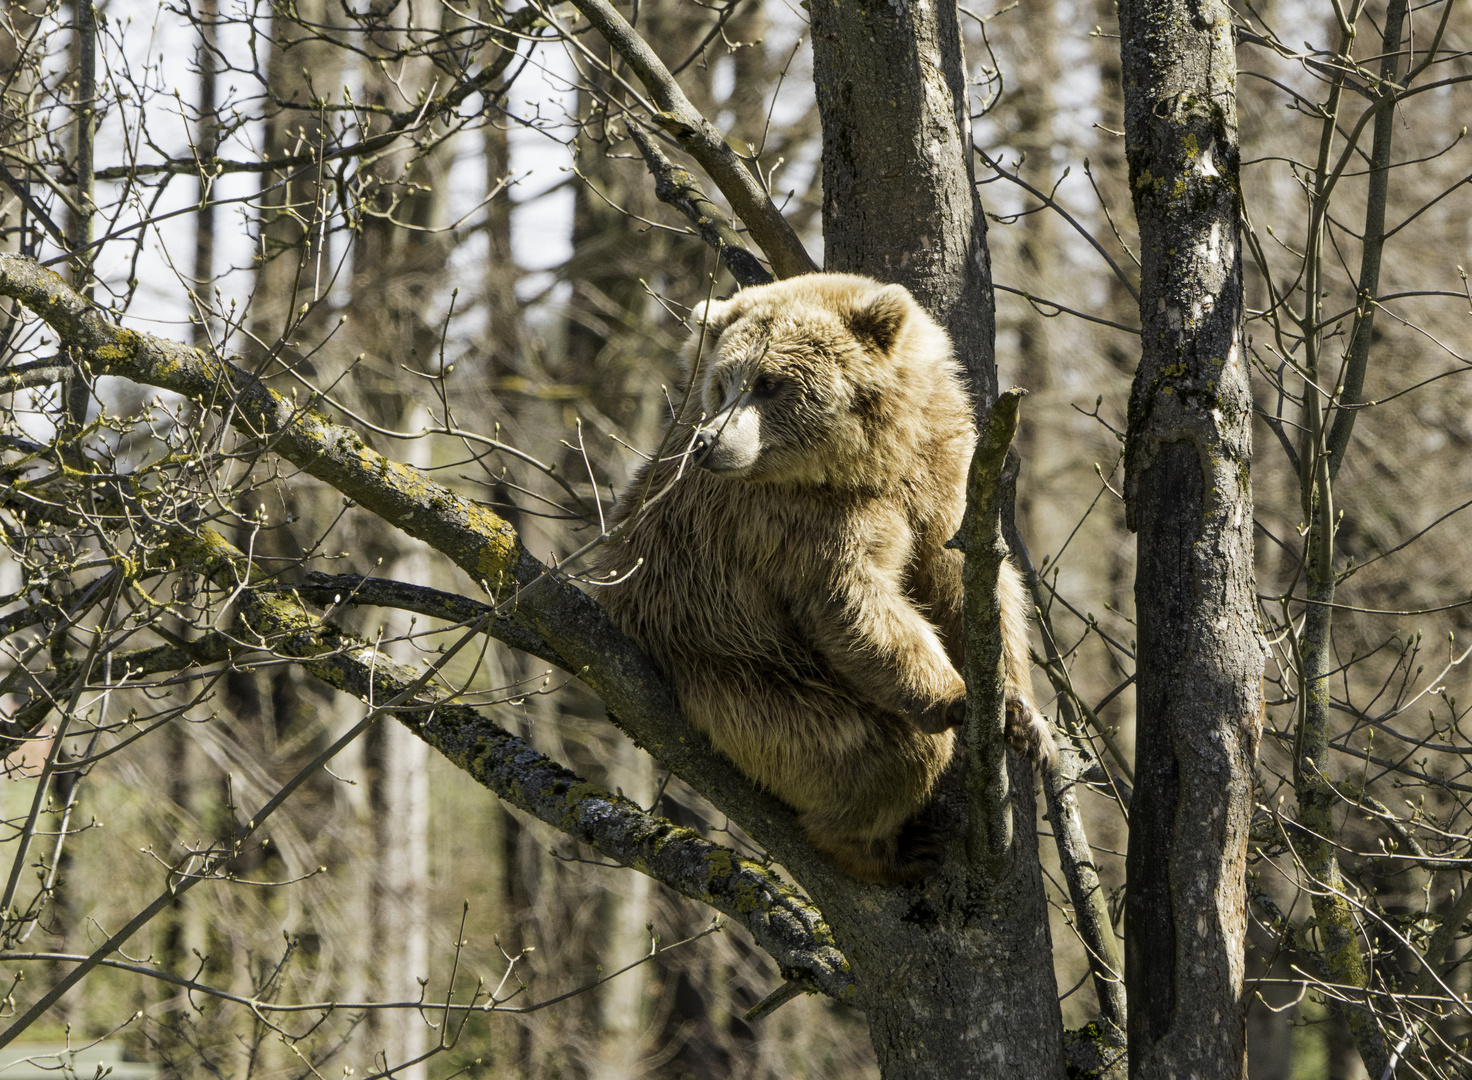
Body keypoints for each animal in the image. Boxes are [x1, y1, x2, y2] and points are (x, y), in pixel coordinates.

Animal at [591, 275, 1053, 882]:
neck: (870, 460)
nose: (709, 442)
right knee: (879, 749)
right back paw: (882, 847)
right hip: (738, 674)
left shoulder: (943, 477)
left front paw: (1027, 719)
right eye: (723, 382)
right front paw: (957, 697)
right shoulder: (797, 524)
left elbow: (971, 586)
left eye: (768, 383)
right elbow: (854, 601)